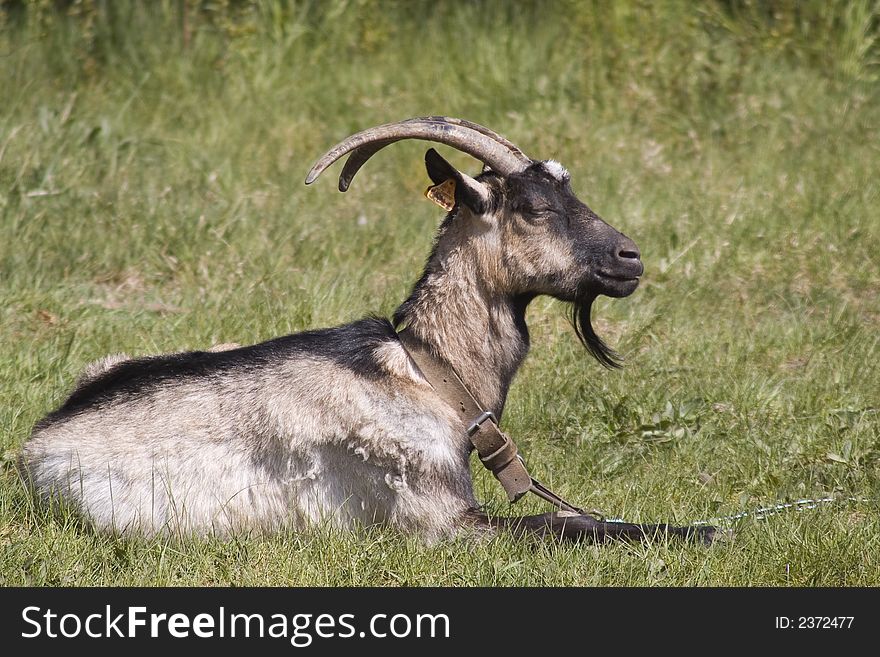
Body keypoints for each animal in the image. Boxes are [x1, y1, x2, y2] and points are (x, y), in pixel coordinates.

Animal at [20, 114, 720, 544]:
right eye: (536, 207)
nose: (631, 259)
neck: (430, 371)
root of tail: (37, 443)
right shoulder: (441, 520)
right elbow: (567, 526)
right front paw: (705, 531)